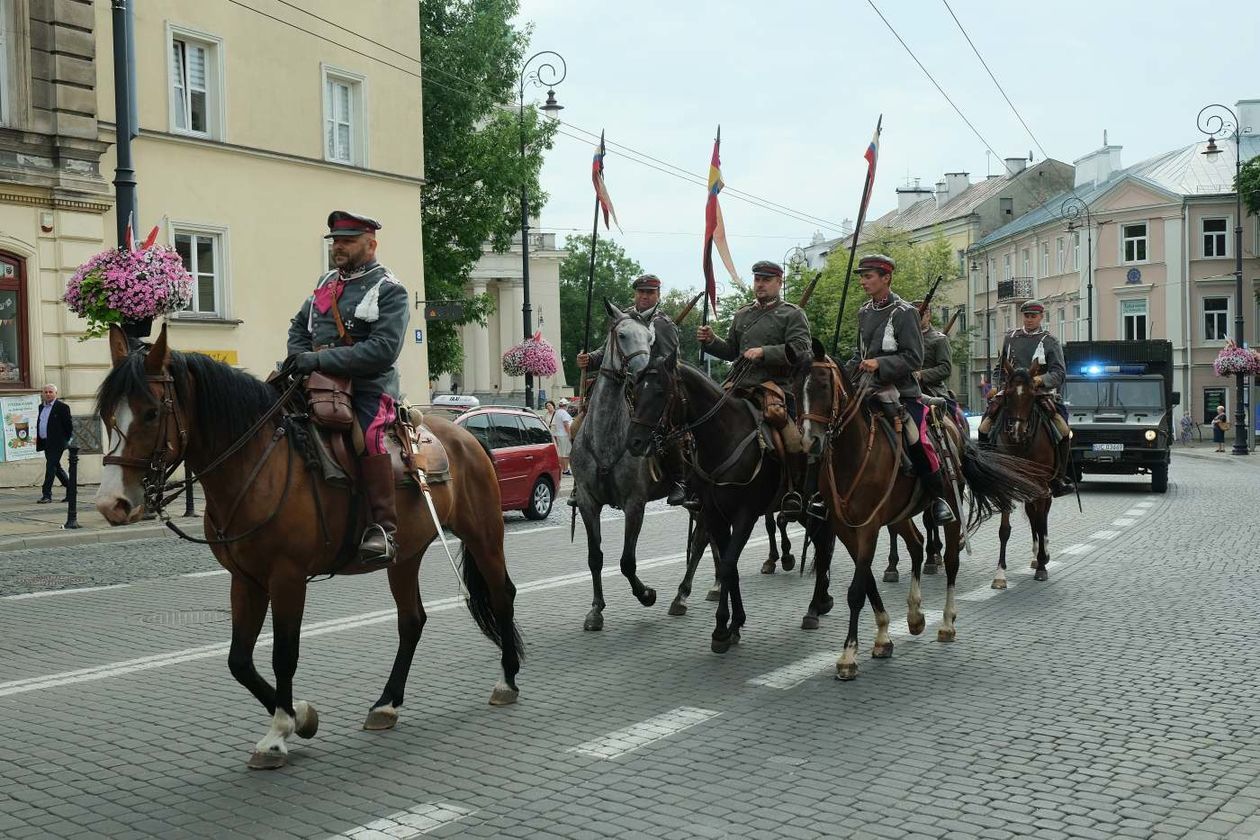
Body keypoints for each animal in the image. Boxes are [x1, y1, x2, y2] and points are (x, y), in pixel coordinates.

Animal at [94, 324, 521, 770]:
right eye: (106, 414)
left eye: (150, 413)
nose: (111, 504)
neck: (258, 464)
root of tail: (465, 434)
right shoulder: (245, 580)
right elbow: (239, 659)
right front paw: (301, 716)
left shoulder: (287, 577)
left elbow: (283, 653)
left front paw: (279, 733)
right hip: (404, 556)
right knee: (412, 620)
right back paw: (386, 704)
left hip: (483, 534)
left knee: (501, 595)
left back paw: (505, 681)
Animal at [796, 337, 1043, 680]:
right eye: (796, 388)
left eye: (822, 384)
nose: (810, 442)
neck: (854, 453)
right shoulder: (847, 529)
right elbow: (867, 581)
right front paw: (883, 636)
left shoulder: (869, 527)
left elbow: (857, 590)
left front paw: (848, 655)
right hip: (898, 515)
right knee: (916, 544)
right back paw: (914, 615)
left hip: (950, 511)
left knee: (950, 561)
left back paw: (947, 622)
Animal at [987, 357, 1058, 589]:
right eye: (1008, 394)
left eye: (1032, 395)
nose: (1017, 432)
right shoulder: (1005, 484)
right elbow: (1004, 530)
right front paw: (1000, 574)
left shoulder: (1042, 484)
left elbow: (1041, 521)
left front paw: (1043, 566)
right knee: (1033, 514)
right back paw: (1036, 556)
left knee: (1040, 516)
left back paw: (1042, 556)